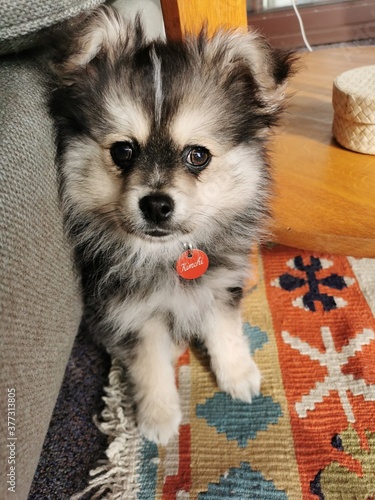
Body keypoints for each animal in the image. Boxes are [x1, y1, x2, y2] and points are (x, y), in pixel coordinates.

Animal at [50, 5, 296, 444]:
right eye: (123, 151)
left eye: (197, 155)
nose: (156, 204)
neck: (166, 256)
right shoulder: (130, 312)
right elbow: (149, 363)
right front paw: (159, 415)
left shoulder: (219, 285)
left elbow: (224, 329)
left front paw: (238, 374)